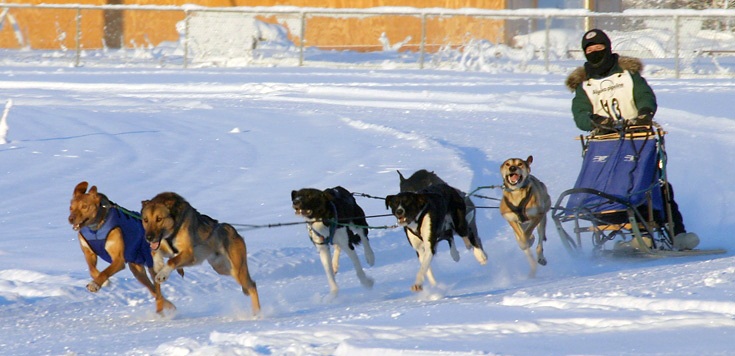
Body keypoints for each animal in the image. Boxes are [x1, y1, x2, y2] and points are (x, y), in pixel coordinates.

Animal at [66, 181, 175, 314]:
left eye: (84, 206)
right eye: (71, 207)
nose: (71, 218)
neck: (96, 229)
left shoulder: (118, 260)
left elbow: (106, 271)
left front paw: (96, 284)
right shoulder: (89, 253)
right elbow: (92, 269)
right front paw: (103, 282)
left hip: (152, 264)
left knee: (158, 290)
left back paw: (161, 312)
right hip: (138, 271)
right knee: (154, 291)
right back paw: (168, 305)